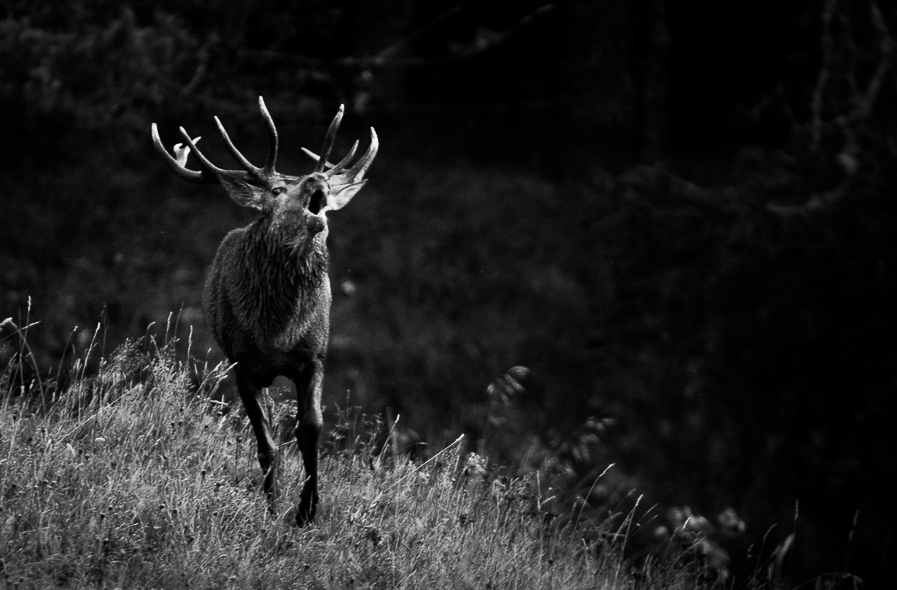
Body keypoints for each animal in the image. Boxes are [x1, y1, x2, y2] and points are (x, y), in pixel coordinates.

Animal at [152, 98, 376, 528]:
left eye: (321, 184)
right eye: (277, 189)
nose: (318, 180)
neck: (278, 331)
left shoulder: (314, 356)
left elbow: (311, 428)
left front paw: (307, 510)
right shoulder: (243, 365)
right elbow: (266, 443)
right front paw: (272, 510)